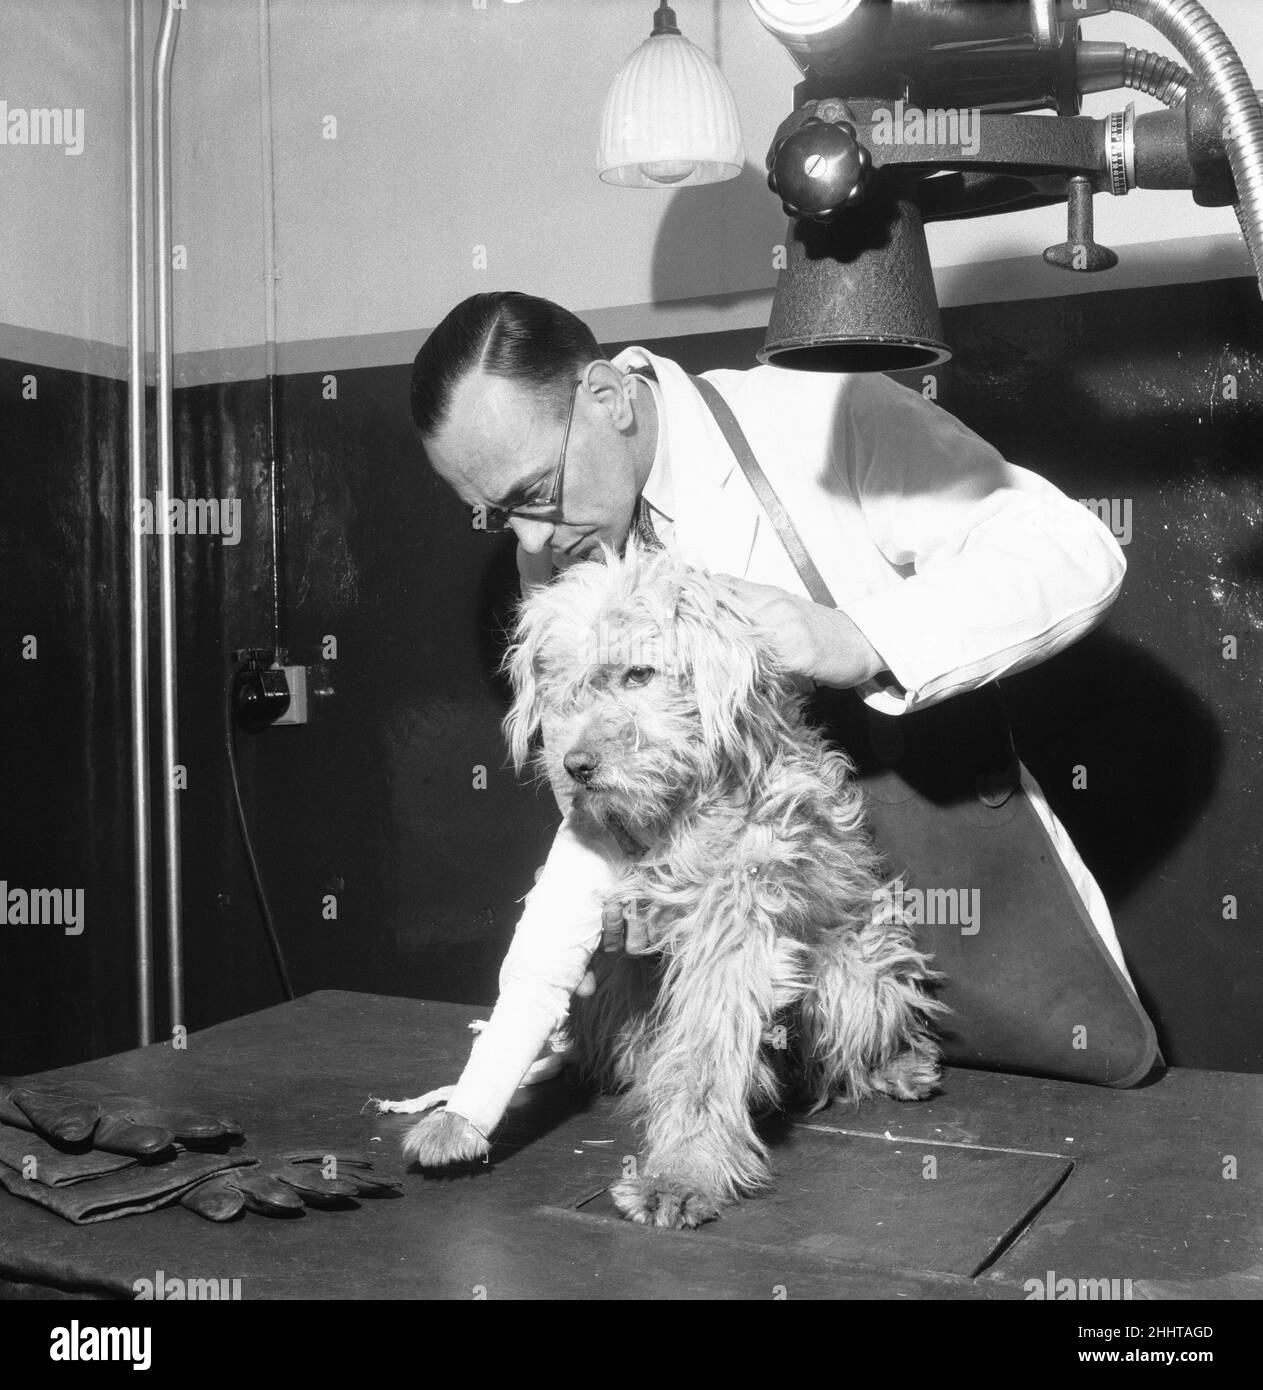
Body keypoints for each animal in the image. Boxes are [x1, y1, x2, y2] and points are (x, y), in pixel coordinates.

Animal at [400, 542, 939, 1228]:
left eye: (639, 674)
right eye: (563, 686)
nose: (576, 767)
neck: (676, 816)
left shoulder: (734, 927)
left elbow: (708, 1053)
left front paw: (681, 1173)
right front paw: (460, 1120)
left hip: (855, 976)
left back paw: (896, 1064)